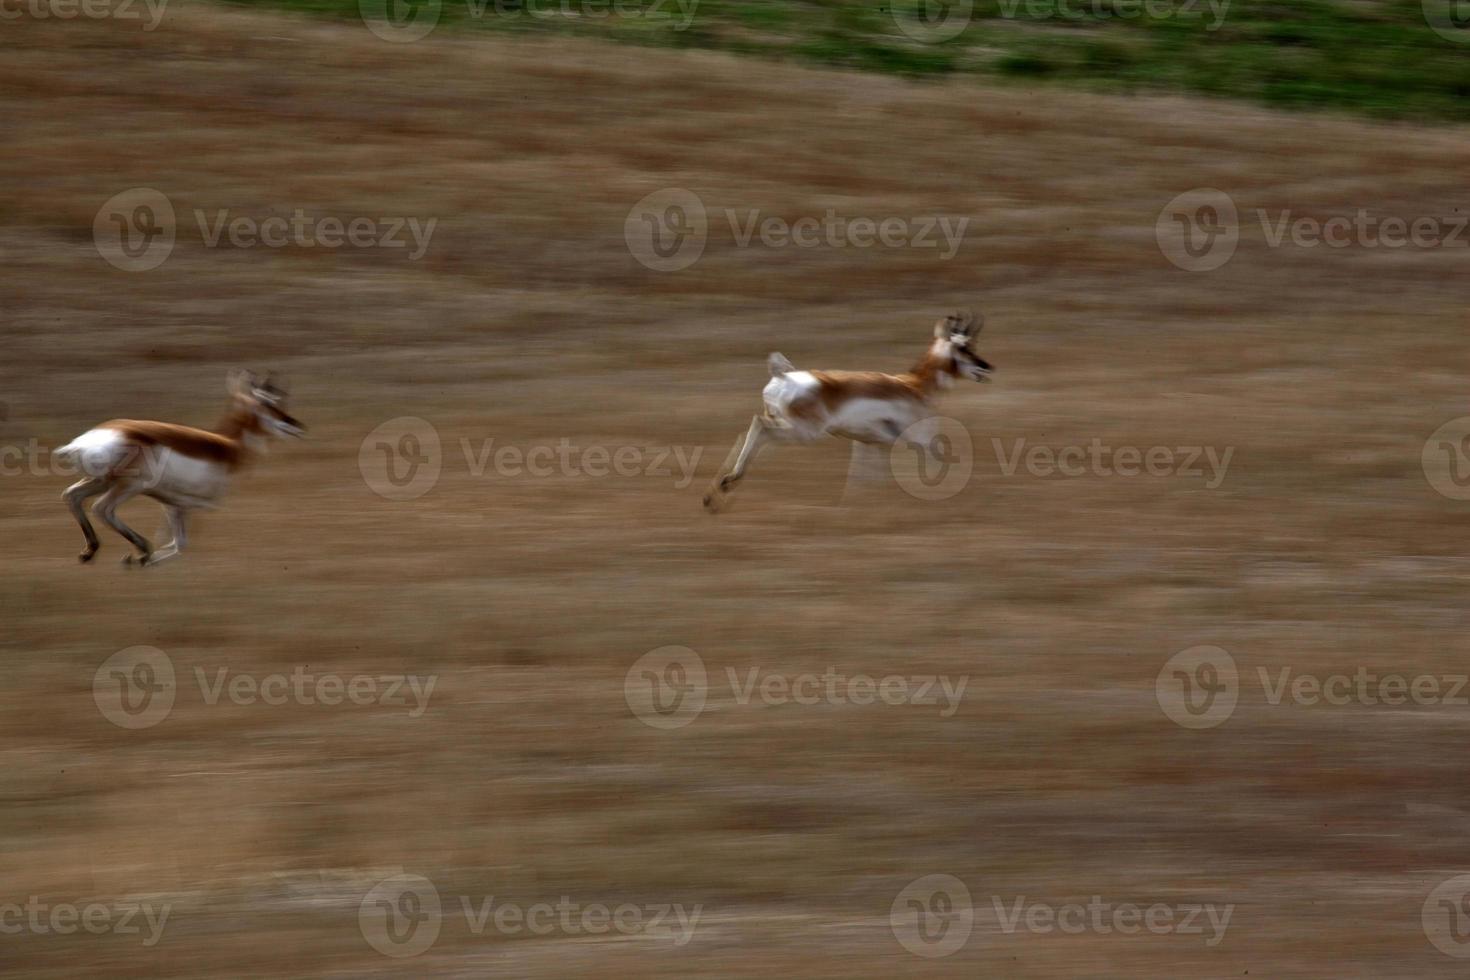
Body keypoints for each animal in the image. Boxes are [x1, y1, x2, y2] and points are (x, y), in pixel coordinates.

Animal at [55, 370, 304, 567]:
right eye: (268, 403)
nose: (296, 425)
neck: (226, 445)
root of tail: (82, 442)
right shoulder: (189, 502)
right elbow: (180, 543)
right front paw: (141, 559)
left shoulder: (170, 504)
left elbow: (177, 542)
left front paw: (139, 558)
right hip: (129, 486)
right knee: (101, 508)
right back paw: (142, 549)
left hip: (100, 482)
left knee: (71, 495)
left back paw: (90, 552)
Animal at [702, 312, 999, 514]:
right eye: (963, 346)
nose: (987, 367)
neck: (913, 385)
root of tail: (783, 376)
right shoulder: (916, 440)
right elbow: (937, 461)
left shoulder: (869, 442)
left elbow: (864, 477)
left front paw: (857, 504)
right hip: (804, 432)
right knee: (759, 427)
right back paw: (726, 484)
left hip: (789, 428)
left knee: (752, 432)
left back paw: (716, 494)